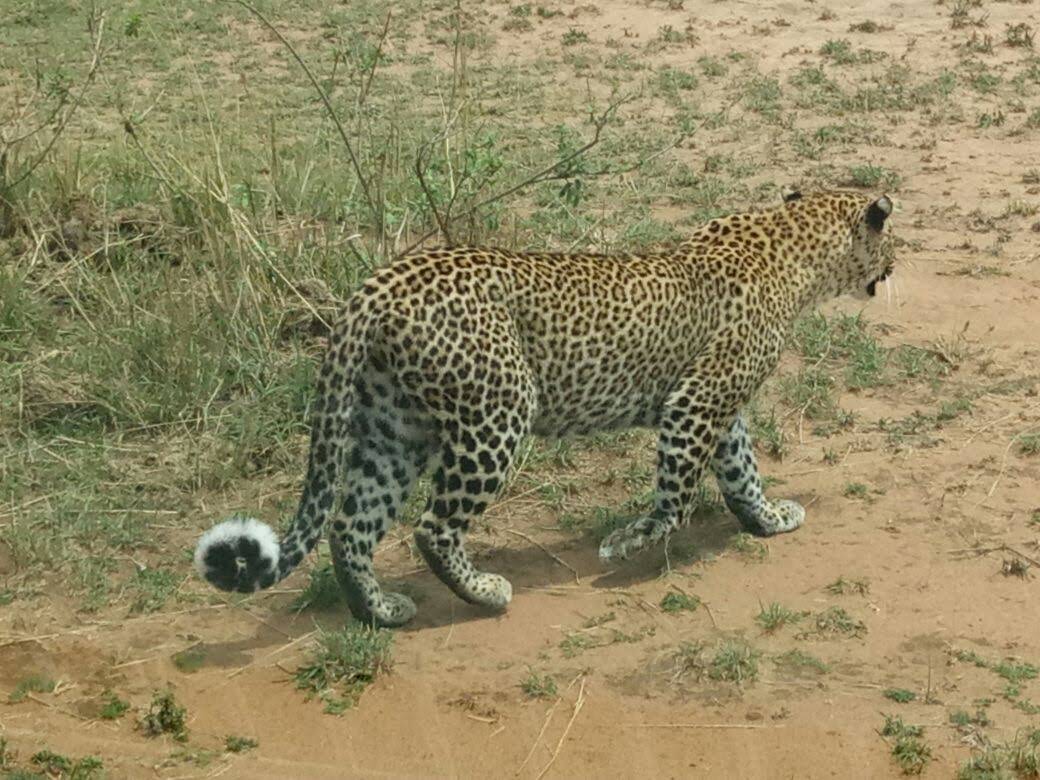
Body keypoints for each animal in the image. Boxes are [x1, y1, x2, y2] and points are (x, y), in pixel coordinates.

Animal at [195, 188, 894, 628]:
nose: (898, 265)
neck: (792, 246)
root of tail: (374, 287)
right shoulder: (696, 402)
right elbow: (678, 492)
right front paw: (627, 544)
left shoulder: (718, 405)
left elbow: (742, 471)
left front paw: (769, 519)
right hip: (497, 413)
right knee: (431, 526)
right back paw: (483, 594)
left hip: (393, 429)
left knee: (351, 526)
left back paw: (381, 612)